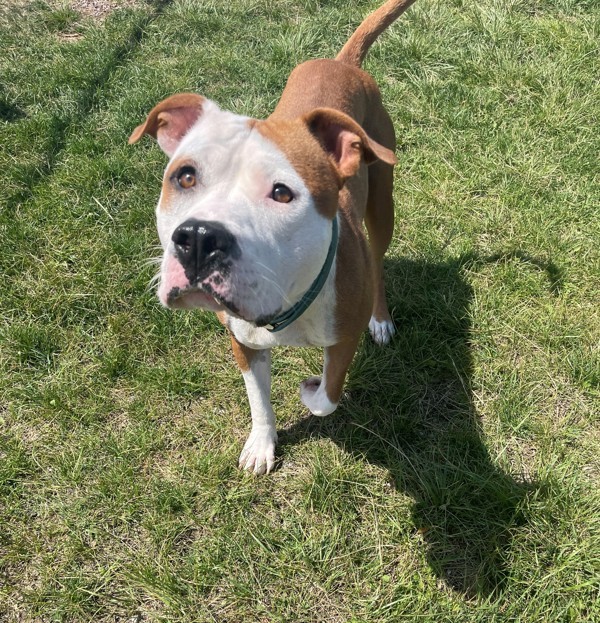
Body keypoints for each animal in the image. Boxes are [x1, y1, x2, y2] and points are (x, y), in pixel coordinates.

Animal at [129, 0, 414, 476]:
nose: (199, 238)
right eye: (184, 177)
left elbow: (326, 397)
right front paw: (262, 444)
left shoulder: (343, 341)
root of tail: (342, 63)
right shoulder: (242, 341)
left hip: (382, 204)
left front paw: (308, 388)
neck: (285, 306)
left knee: (378, 260)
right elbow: (258, 399)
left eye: (282, 193)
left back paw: (381, 319)